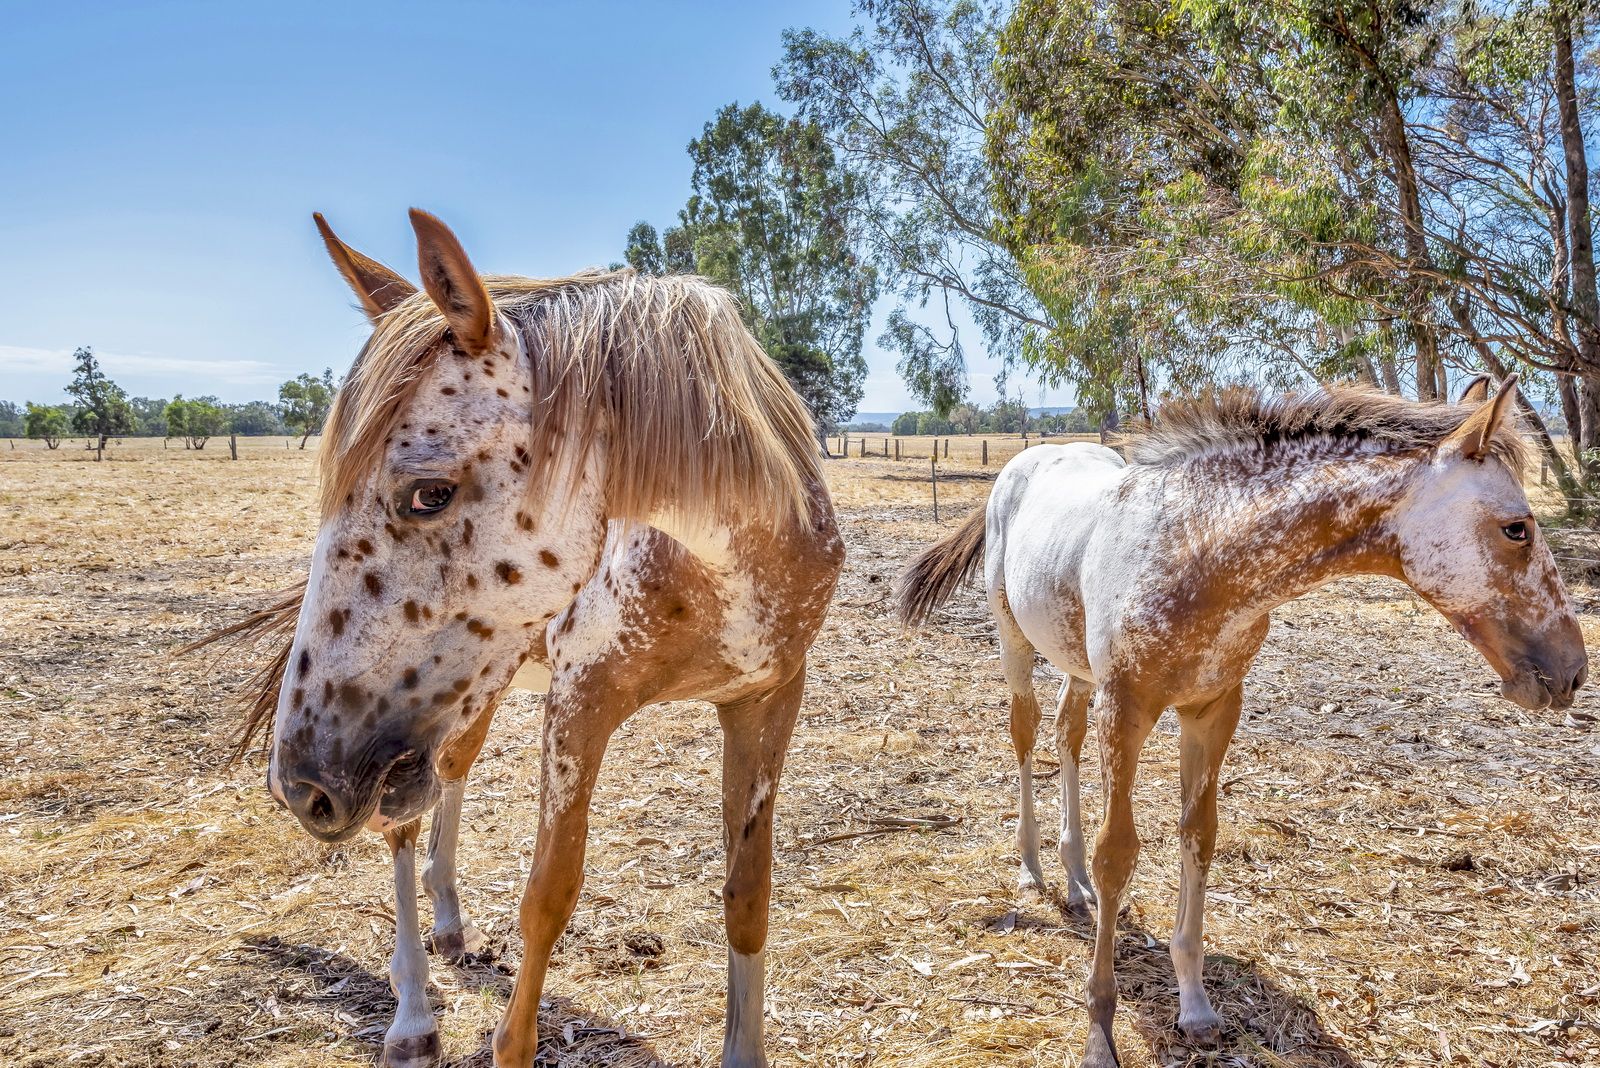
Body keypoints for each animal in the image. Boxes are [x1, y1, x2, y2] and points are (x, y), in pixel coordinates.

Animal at [240, 211, 838, 1068]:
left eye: (429, 493)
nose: (298, 783)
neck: (724, 569)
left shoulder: (768, 701)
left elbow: (747, 896)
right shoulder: (579, 706)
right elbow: (548, 897)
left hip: (457, 705)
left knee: (446, 777)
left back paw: (448, 921)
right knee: (402, 827)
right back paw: (412, 1011)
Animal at [902, 378, 1587, 1068]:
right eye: (1517, 528)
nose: (1573, 670)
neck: (1196, 553)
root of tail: (1024, 463)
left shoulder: (1214, 710)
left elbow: (1199, 836)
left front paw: (1195, 1005)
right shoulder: (1126, 709)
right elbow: (1117, 852)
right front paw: (1099, 1032)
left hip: (1077, 666)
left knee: (1066, 736)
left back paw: (1072, 883)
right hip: (1015, 643)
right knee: (1025, 732)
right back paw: (1033, 868)